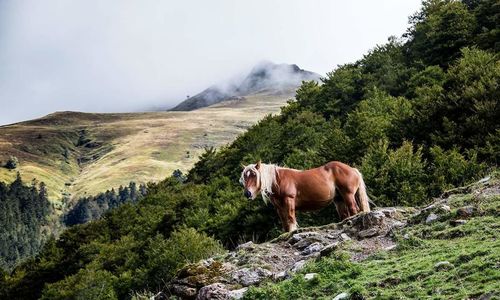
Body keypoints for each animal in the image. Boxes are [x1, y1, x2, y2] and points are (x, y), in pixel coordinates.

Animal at [238, 162, 372, 232]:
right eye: (245, 176)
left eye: (254, 175)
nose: (247, 193)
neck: (279, 180)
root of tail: (353, 169)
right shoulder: (279, 207)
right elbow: (284, 223)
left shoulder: (289, 200)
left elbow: (291, 218)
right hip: (339, 199)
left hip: (348, 195)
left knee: (354, 209)